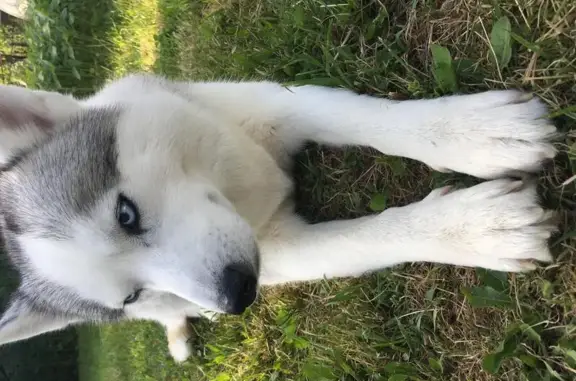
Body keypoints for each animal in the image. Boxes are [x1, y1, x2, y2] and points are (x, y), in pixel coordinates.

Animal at [0, 73, 560, 360]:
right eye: (131, 296)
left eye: (125, 213)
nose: (238, 295)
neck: (239, 188)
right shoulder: (279, 253)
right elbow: (369, 239)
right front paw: (473, 229)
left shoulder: (271, 105)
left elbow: (365, 117)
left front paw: (472, 132)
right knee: (174, 314)